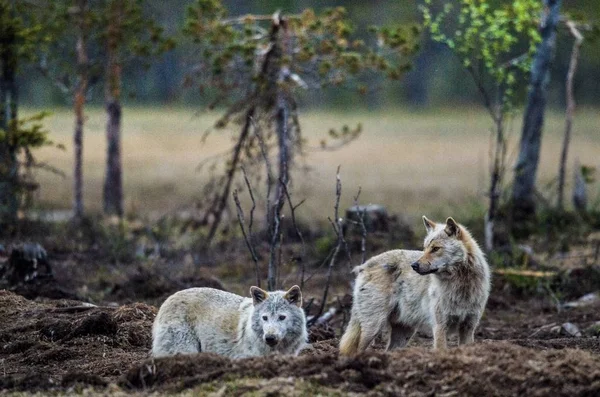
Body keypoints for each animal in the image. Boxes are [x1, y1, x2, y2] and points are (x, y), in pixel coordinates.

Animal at [340, 215, 490, 354]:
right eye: (425, 248)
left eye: (435, 249)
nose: (414, 265)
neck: (461, 284)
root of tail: (364, 266)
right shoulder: (439, 326)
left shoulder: (469, 327)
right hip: (374, 327)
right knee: (358, 349)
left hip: (404, 333)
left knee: (387, 351)